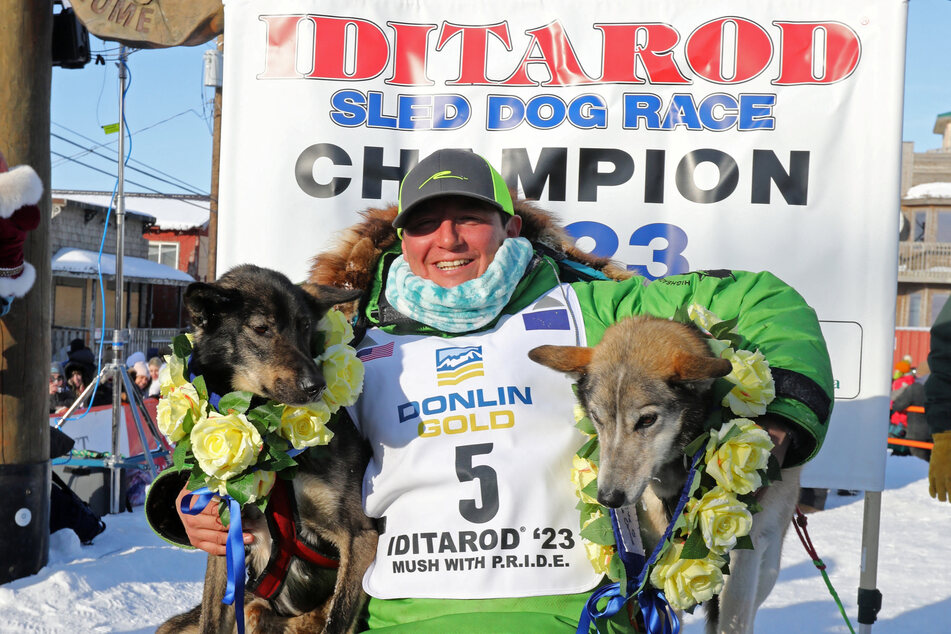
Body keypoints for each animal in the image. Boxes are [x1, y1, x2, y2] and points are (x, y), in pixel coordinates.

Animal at [154, 266, 378, 632]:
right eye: (261, 328)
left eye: (304, 326)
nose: (317, 386)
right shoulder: (225, 538)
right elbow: (212, 618)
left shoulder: (360, 536)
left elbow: (337, 621)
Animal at [528, 314, 804, 632]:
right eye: (597, 417)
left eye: (647, 419)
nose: (609, 498)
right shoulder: (658, 559)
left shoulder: (743, 557)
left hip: (767, 563)